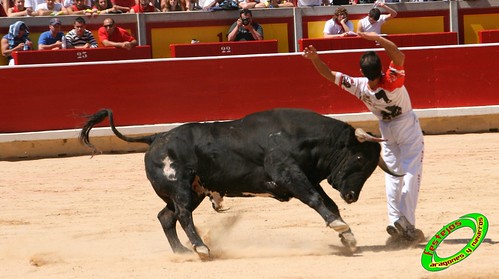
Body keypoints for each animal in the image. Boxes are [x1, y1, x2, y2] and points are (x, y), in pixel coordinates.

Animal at [81, 108, 402, 260]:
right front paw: (340, 228)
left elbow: (327, 202)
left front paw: (348, 236)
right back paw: (201, 248)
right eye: (359, 157)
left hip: (192, 192)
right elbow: (315, 200)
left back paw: (182, 251)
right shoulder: (288, 174)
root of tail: (156, 137)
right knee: (182, 216)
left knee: (166, 216)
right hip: (181, 188)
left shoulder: (306, 177)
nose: (352, 195)